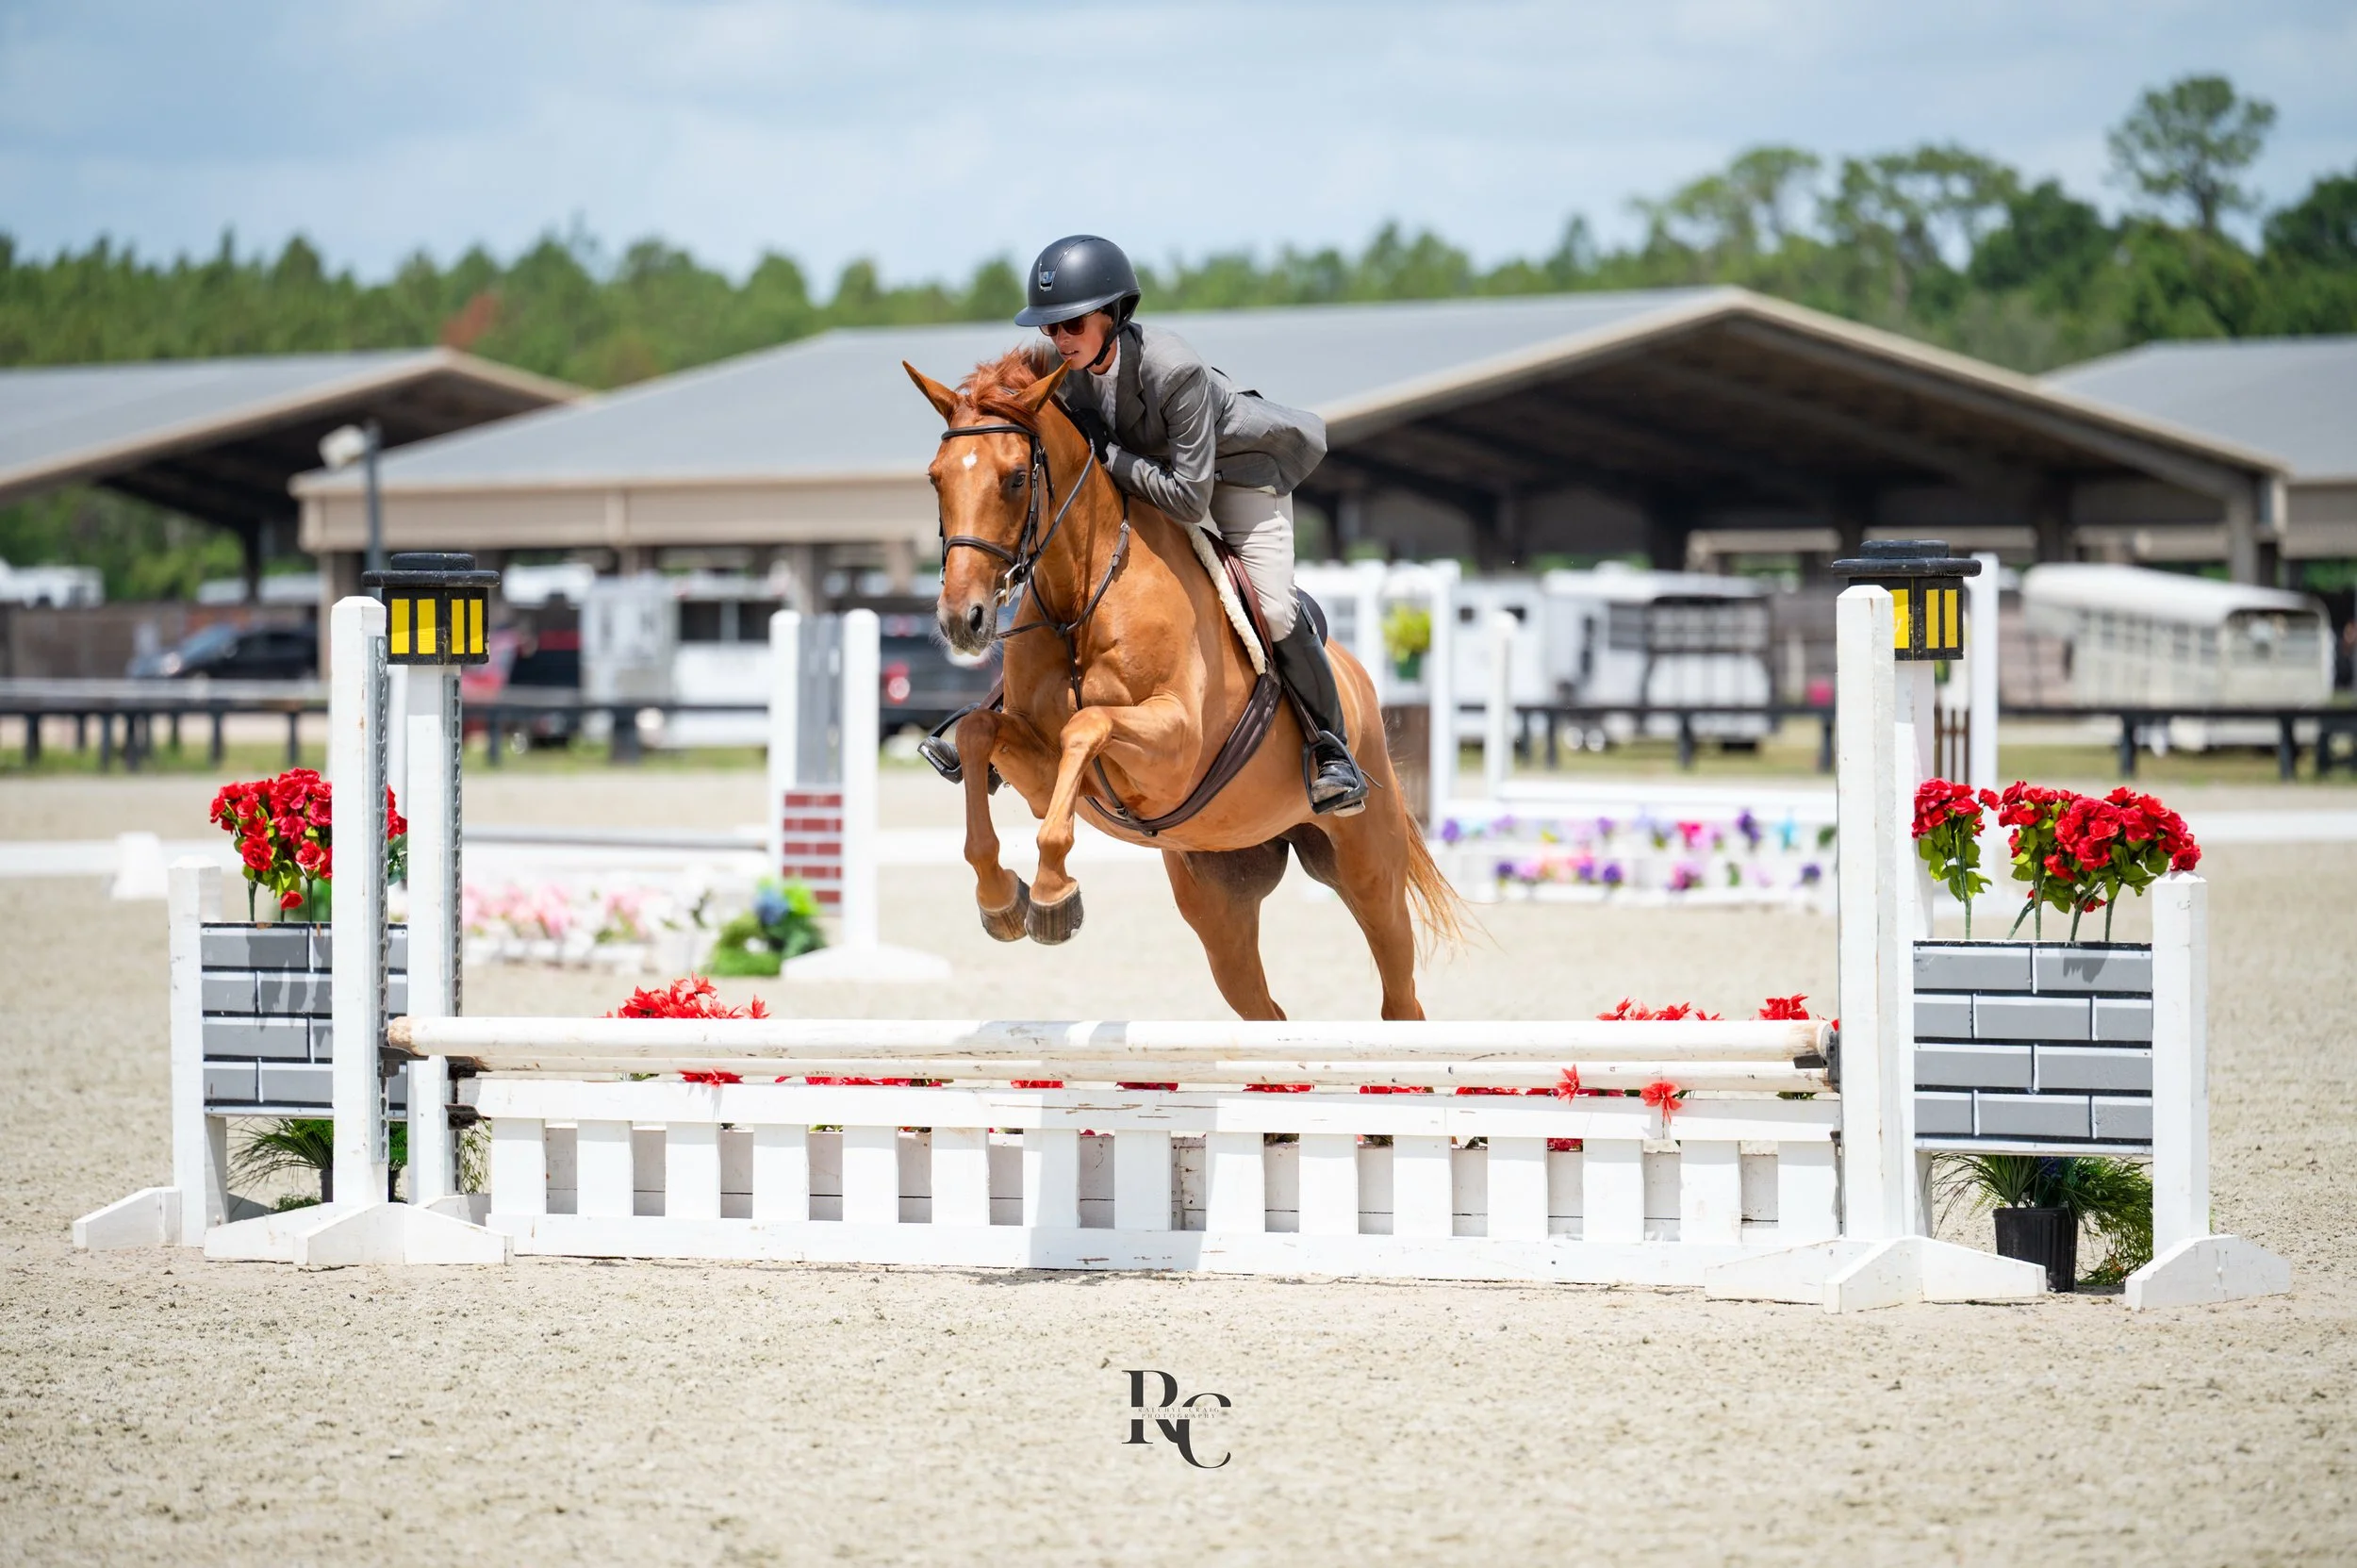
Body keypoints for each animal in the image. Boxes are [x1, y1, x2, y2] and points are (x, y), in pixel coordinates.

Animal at [903, 344, 1463, 1021]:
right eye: (936, 478)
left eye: (1015, 478)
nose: (963, 621)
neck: (1081, 595)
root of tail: (1356, 680)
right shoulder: (1037, 771)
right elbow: (982, 732)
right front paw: (1002, 899)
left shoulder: (1172, 748)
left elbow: (1087, 725)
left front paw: (1053, 895)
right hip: (1218, 897)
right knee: (1264, 1009)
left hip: (1369, 867)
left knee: (1399, 994)